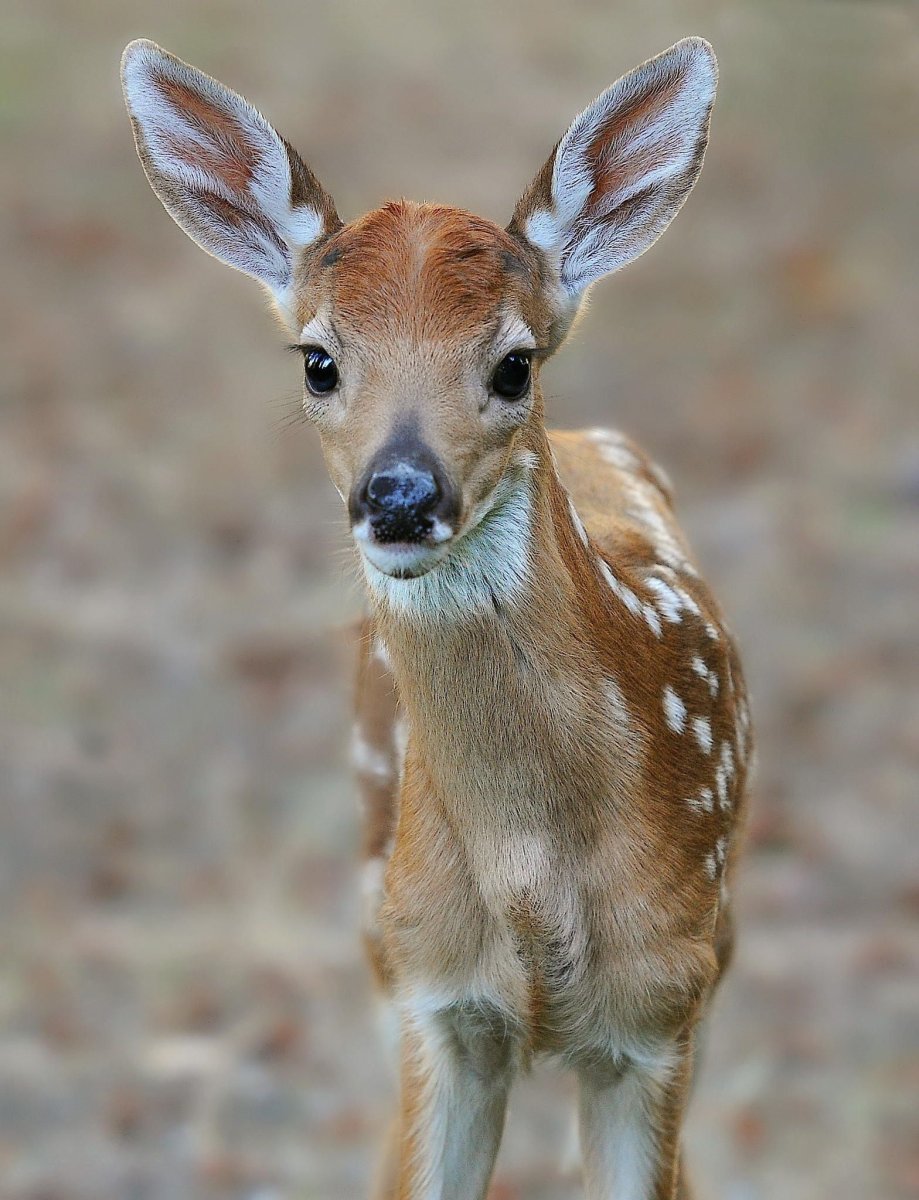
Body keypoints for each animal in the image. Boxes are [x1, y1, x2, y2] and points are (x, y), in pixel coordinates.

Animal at [122, 35, 751, 1199]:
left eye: (514, 362)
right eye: (319, 360)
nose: (401, 495)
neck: (533, 877)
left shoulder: (660, 1004)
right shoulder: (433, 991)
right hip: (381, 924)